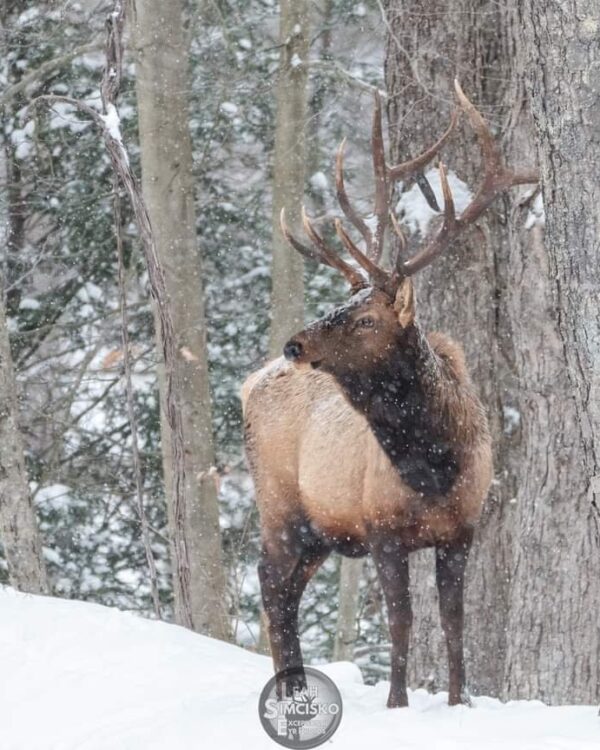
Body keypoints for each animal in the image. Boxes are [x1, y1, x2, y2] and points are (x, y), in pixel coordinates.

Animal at [241, 82, 536, 712]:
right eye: (342, 303)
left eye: (366, 318)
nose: (295, 343)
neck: (433, 468)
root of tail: (247, 384)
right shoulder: (381, 530)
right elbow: (401, 622)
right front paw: (398, 703)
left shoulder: (462, 532)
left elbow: (453, 622)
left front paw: (459, 702)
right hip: (279, 503)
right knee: (270, 583)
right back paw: (289, 691)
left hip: (319, 531)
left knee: (286, 589)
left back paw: (293, 687)